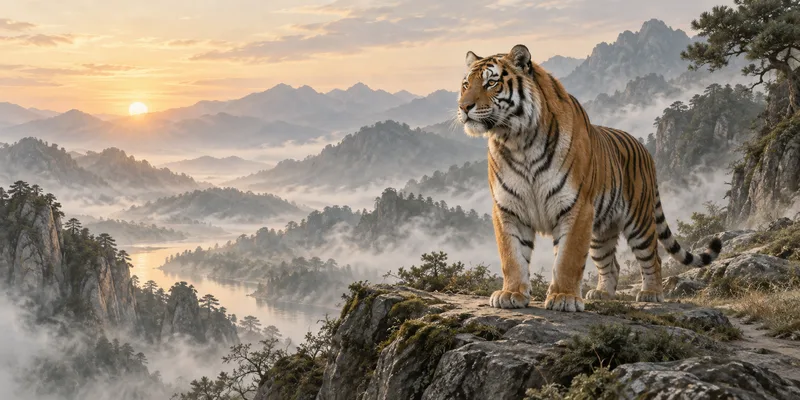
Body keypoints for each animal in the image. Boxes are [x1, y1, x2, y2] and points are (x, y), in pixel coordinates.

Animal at [457, 44, 722, 312]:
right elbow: (512, 256)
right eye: (466, 84)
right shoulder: (508, 208)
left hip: (639, 221)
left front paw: (564, 297)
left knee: (652, 257)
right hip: (601, 232)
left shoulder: (576, 207)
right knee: (611, 264)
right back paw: (602, 293)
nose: (463, 107)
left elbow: (568, 258)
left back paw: (651, 293)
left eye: (491, 83)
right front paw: (511, 293)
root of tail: (645, 150)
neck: (518, 141)